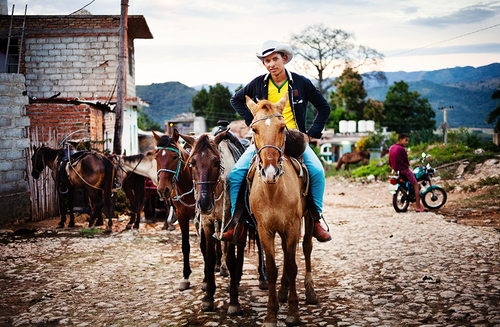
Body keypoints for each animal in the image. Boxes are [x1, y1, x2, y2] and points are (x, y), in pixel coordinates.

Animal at [245, 93, 316, 327]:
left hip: (308, 219)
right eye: (254, 129)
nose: (270, 171)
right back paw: (283, 292)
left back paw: (309, 291)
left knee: (306, 248)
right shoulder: (264, 230)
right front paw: (271, 314)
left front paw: (293, 312)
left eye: (282, 128)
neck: (273, 191)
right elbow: (272, 268)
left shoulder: (292, 226)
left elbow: (293, 266)